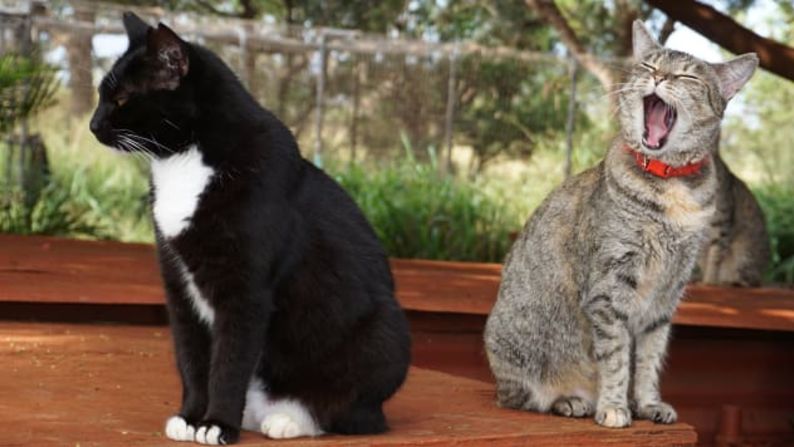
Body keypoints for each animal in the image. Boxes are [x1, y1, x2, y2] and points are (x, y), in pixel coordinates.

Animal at [90, 12, 412, 446]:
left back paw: (290, 418)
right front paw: (191, 416)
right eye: (101, 95)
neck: (185, 163)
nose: (92, 124)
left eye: (122, 98)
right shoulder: (178, 284)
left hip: (386, 336)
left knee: (353, 413)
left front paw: (216, 423)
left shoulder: (246, 291)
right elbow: (192, 358)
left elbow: (229, 364)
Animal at [482, 21, 756, 430]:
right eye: (649, 65)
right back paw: (570, 400)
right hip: (514, 349)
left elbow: (648, 359)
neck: (672, 187)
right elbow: (615, 358)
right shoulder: (609, 287)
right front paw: (613, 406)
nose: (659, 77)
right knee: (523, 399)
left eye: (687, 75)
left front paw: (647, 403)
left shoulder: (666, 296)